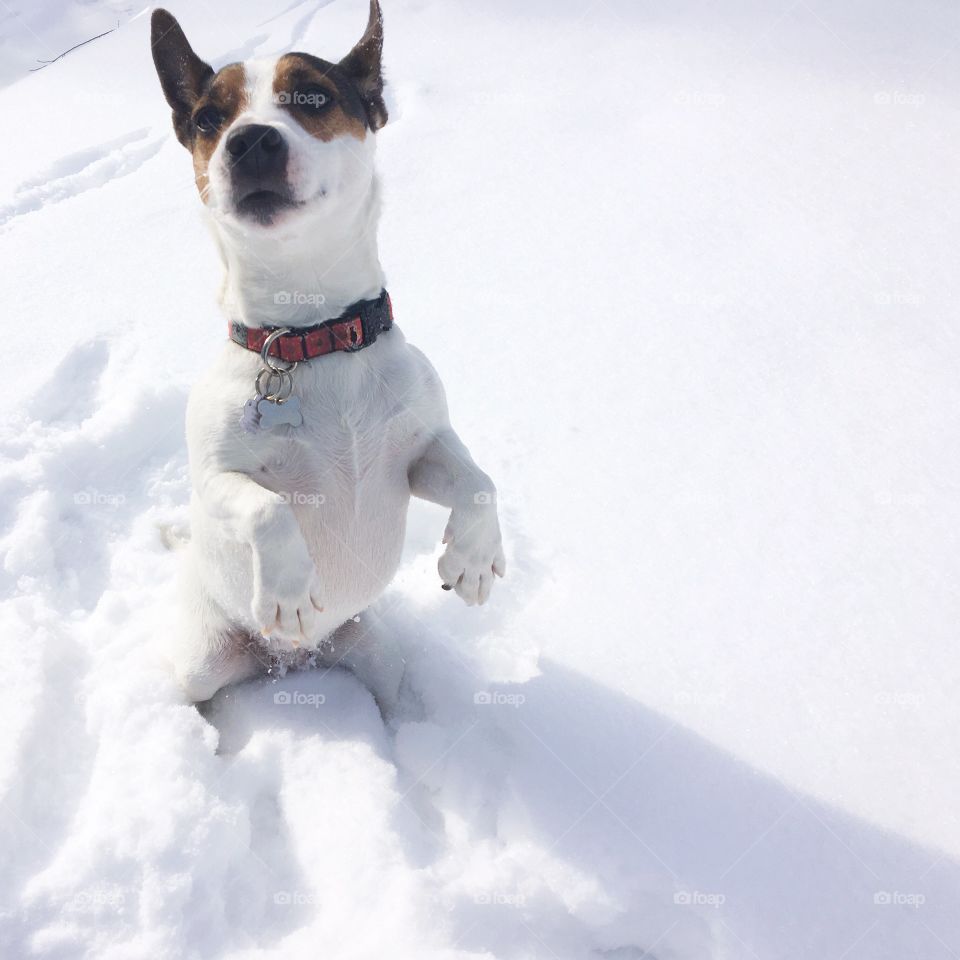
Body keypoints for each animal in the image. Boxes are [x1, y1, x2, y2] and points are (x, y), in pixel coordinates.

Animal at [149, 0, 506, 704]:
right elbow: (267, 507)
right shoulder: (215, 479)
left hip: (374, 655)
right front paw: (288, 594)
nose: (249, 141)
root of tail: (288, 664)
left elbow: (480, 484)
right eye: (208, 119)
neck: (311, 335)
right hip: (203, 659)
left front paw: (473, 562)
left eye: (312, 96)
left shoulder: (420, 450)